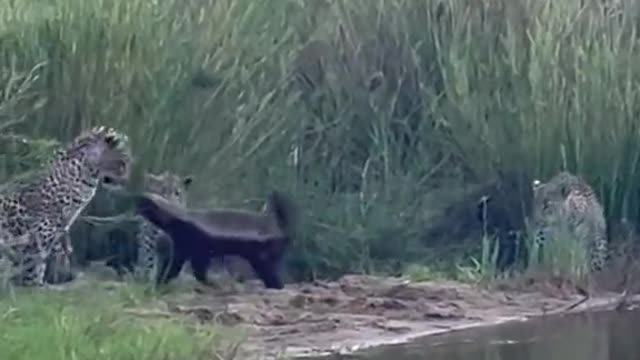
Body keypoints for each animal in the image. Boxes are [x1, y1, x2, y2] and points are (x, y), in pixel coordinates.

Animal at [0, 126, 131, 286]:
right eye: (122, 162)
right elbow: (35, 260)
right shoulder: (45, 227)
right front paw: (32, 285)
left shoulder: (58, 228)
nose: (126, 179)